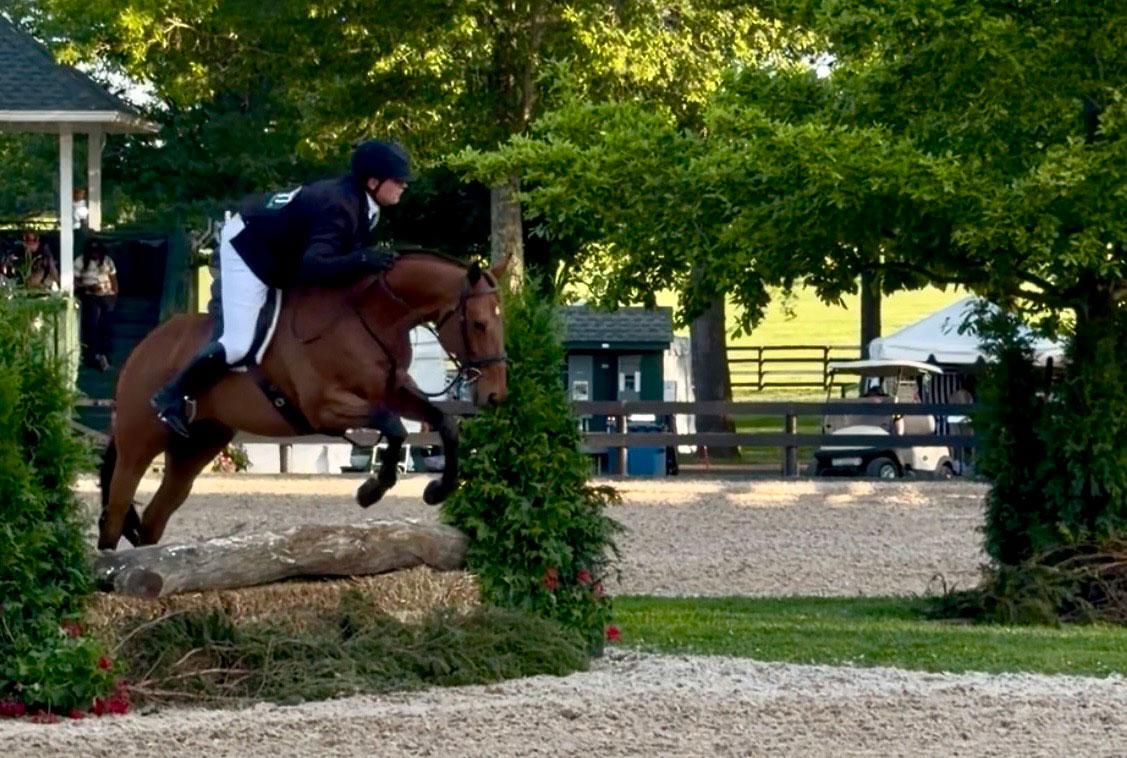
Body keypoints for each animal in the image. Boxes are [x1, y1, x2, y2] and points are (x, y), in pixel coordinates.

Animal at [97, 252, 508, 551]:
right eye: (478, 324)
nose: (495, 395)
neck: (371, 319)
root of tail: (144, 347)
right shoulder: (325, 407)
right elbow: (393, 427)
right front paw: (371, 490)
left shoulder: (392, 392)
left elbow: (443, 424)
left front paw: (437, 489)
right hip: (140, 442)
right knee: (115, 512)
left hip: (198, 445)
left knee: (154, 517)